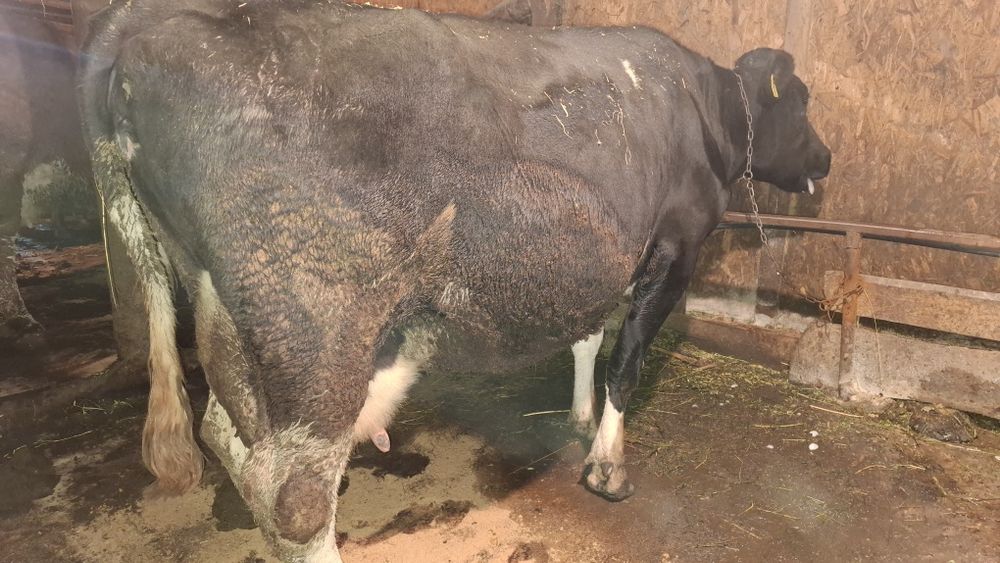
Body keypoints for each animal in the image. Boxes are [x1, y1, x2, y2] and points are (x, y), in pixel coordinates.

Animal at [79, 0, 831, 561]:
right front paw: (607, 465)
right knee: (294, 495)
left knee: (226, 434)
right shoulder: (675, 246)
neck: (703, 106)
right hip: (315, 327)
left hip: (223, 311)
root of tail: (147, 22)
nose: (826, 157)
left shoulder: (596, 256)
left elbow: (587, 335)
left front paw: (580, 416)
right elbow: (627, 360)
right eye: (800, 101)